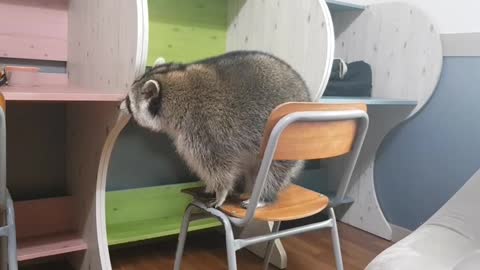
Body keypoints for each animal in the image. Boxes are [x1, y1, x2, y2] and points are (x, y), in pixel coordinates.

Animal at [120, 50, 312, 207]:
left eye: (129, 101)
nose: (120, 106)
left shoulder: (206, 131)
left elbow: (219, 166)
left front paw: (221, 191)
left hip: (286, 142)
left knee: (274, 171)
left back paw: (263, 196)